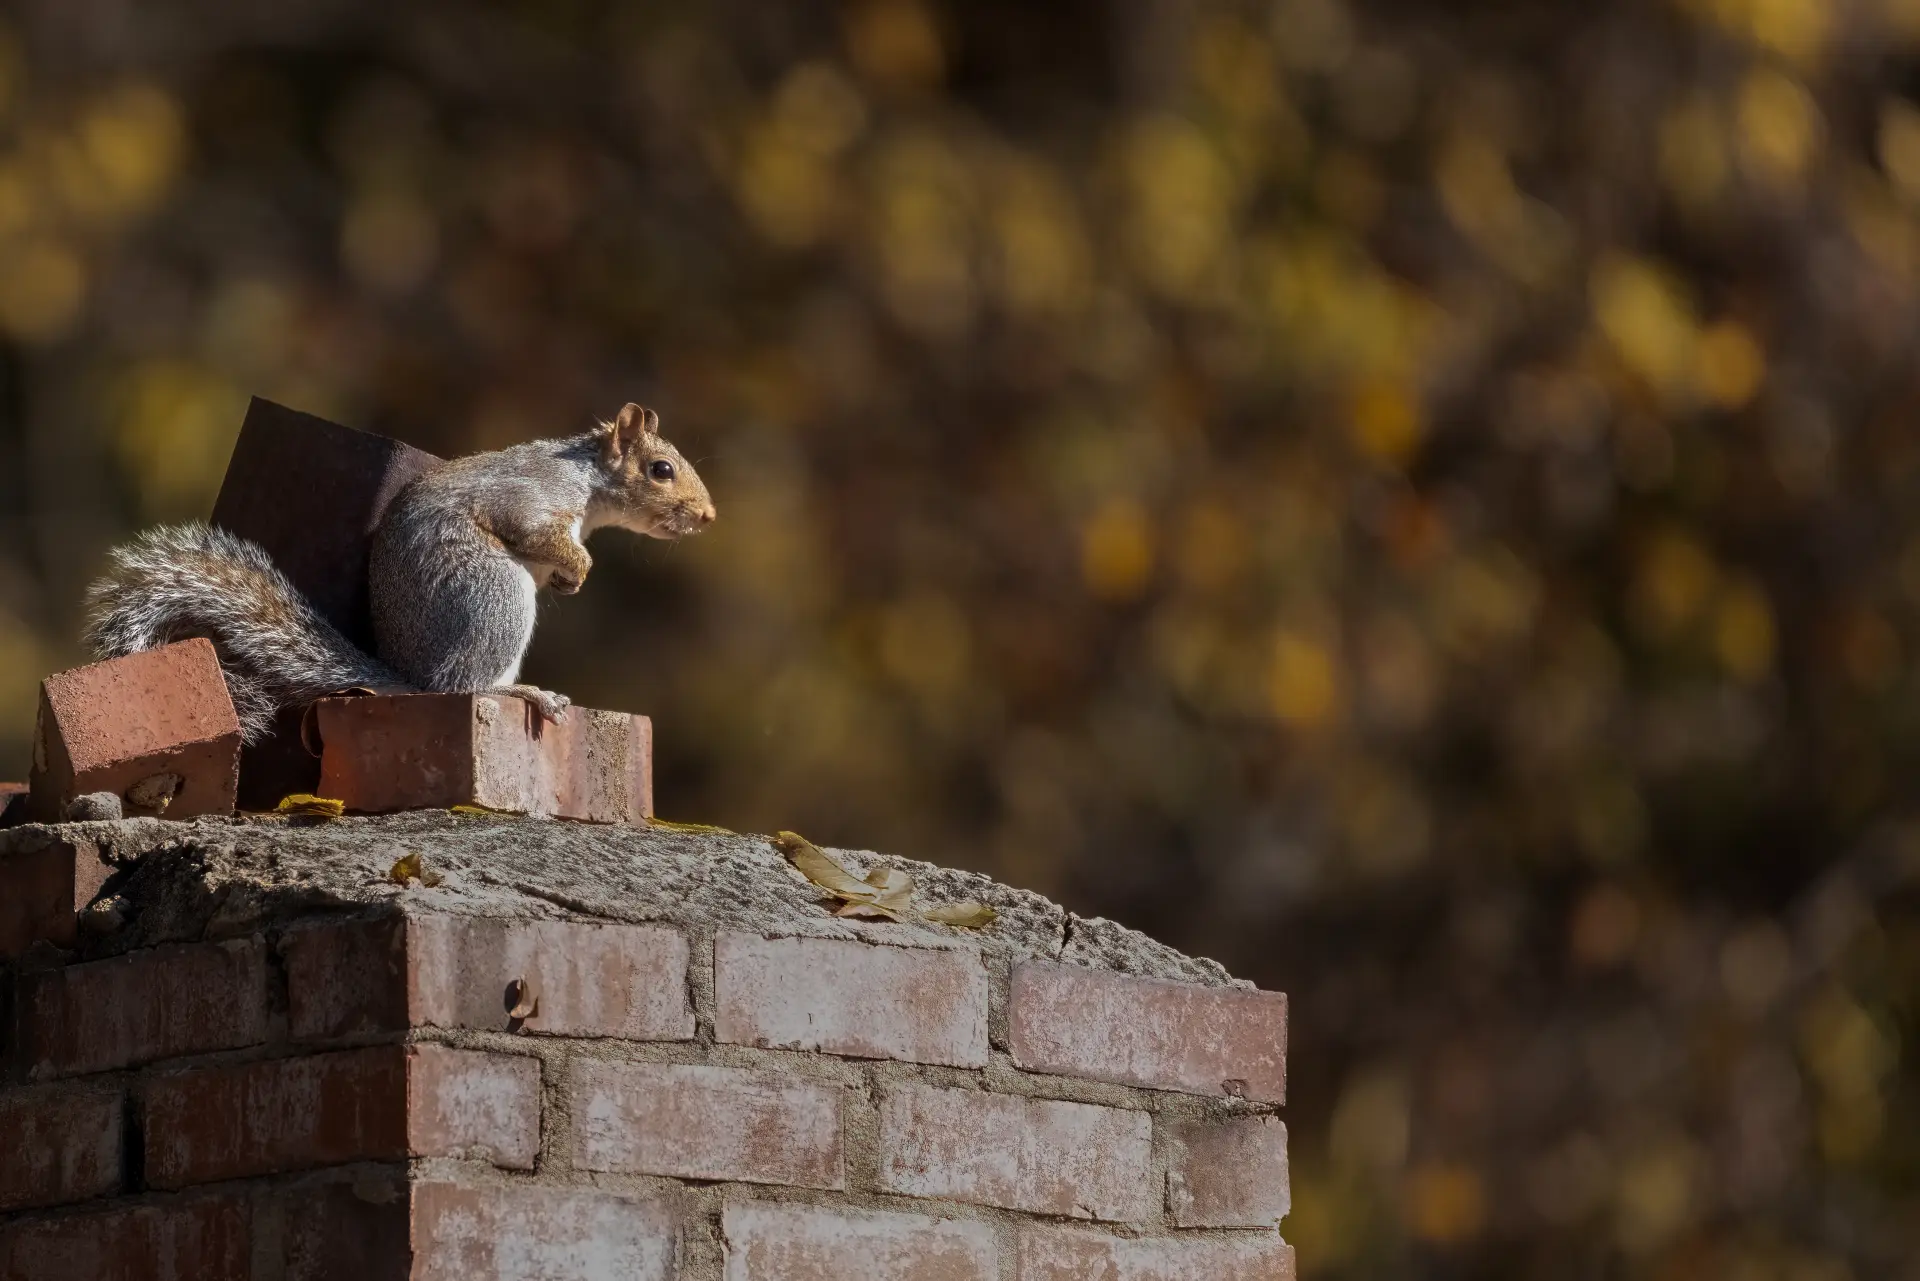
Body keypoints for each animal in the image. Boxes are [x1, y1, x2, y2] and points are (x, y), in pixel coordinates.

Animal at [84, 402, 715, 741]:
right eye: (661, 470)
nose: (707, 516)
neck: (587, 484)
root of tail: (412, 679)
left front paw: (570, 576)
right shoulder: (533, 498)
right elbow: (532, 529)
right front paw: (579, 567)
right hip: (494, 595)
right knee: (463, 685)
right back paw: (521, 691)